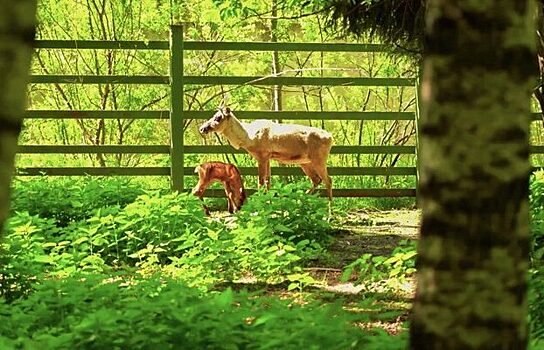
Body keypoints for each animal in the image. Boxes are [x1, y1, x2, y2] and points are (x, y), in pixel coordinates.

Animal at [198, 106, 334, 200]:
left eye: (218, 117)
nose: (202, 128)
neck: (248, 137)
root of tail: (330, 137)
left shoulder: (262, 156)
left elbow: (261, 183)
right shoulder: (268, 157)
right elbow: (268, 182)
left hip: (319, 159)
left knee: (328, 180)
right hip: (305, 162)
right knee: (317, 180)